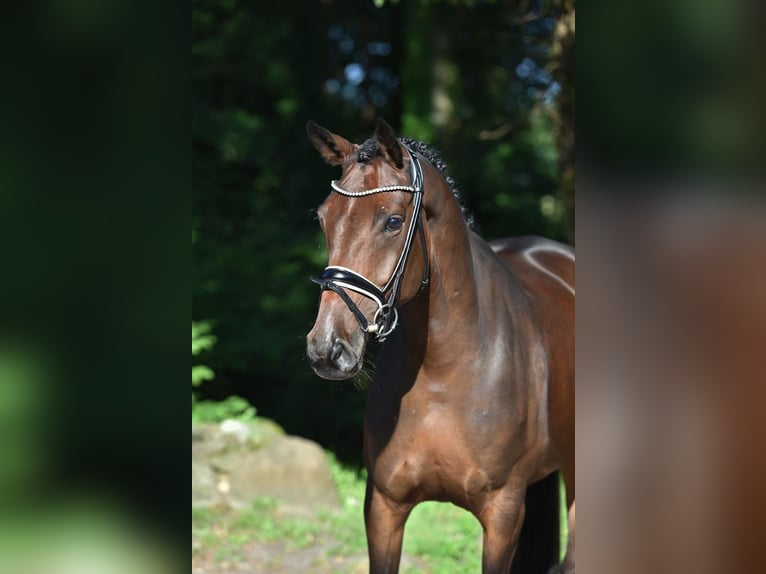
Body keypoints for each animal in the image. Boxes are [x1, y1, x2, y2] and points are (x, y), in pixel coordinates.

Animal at [306, 119, 576, 572]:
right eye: (325, 218)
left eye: (393, 221)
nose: (327, 348)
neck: (444, 370)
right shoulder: (383, 507)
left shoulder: (503, 515)